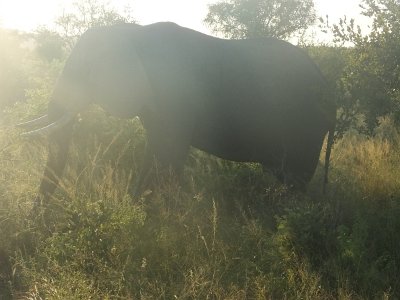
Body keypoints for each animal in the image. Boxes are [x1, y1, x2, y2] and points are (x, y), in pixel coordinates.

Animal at [19, 21, 338, 202]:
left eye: (86, 71)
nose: (36, 227)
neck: (132, 32)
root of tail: (328, 85)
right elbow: (154, 152)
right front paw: (139, 206)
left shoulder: (174, 96)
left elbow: (168, 155)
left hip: (305, 125)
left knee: (295, 180)